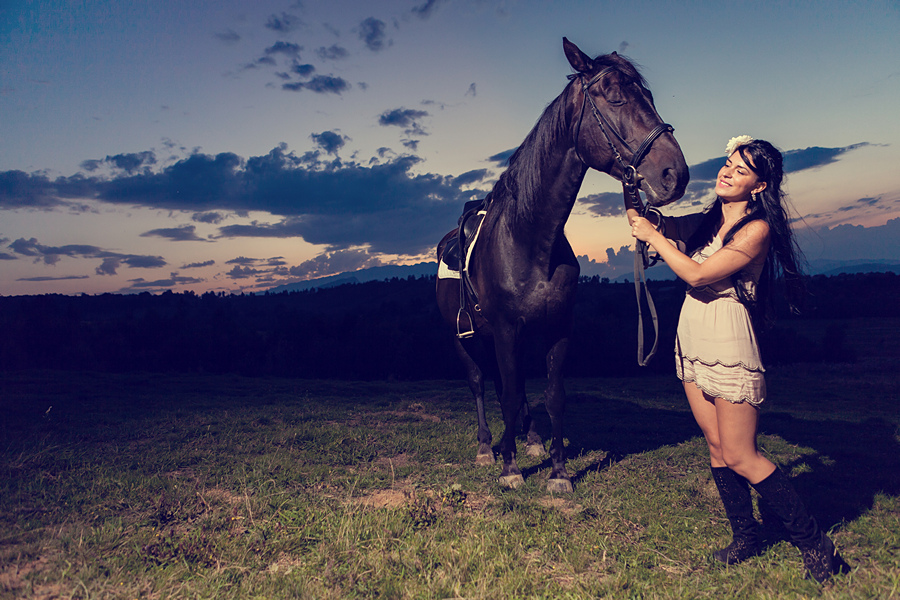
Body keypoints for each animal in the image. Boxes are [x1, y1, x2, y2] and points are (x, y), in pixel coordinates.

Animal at [436, 39, 688, 494]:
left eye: (649, 96)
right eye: (614, 96)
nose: (674, 174)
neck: (530, 239)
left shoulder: (555, 327)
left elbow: (550, 395)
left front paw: (556, 471)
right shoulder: (505, 330)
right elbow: (507, 394)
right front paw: (509, 468)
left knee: (510, 386)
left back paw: (530, 438)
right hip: (465, 337)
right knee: (480, 384)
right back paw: (486, 446)